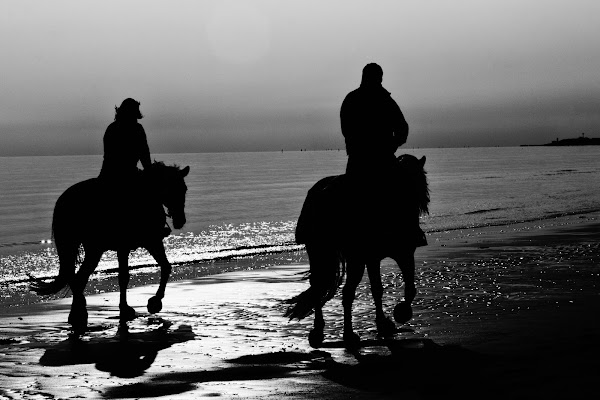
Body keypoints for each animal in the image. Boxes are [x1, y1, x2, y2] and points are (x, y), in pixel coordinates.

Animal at [30, 162, 190, 334]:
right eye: (171, 188)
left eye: (184, 189)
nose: (180, 220)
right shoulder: (148, 241)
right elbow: (132, 275)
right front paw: (150, 303)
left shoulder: (135, 245)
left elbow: (156, 269)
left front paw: (139, 305)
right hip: (94, 249)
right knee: (79, 279)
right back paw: (79, 315)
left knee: (77, 279)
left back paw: (76, 315)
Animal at [284, 155, 428, 348]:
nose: (422, 205)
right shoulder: (402, 253)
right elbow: (406, 288)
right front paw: (400, 313)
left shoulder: (376, 258)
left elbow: (378, 289)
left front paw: (383, 323)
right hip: (353, 259)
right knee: (345, 292)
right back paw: (347, 334)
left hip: (319, 252)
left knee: (319, 286)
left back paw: (319, 331)